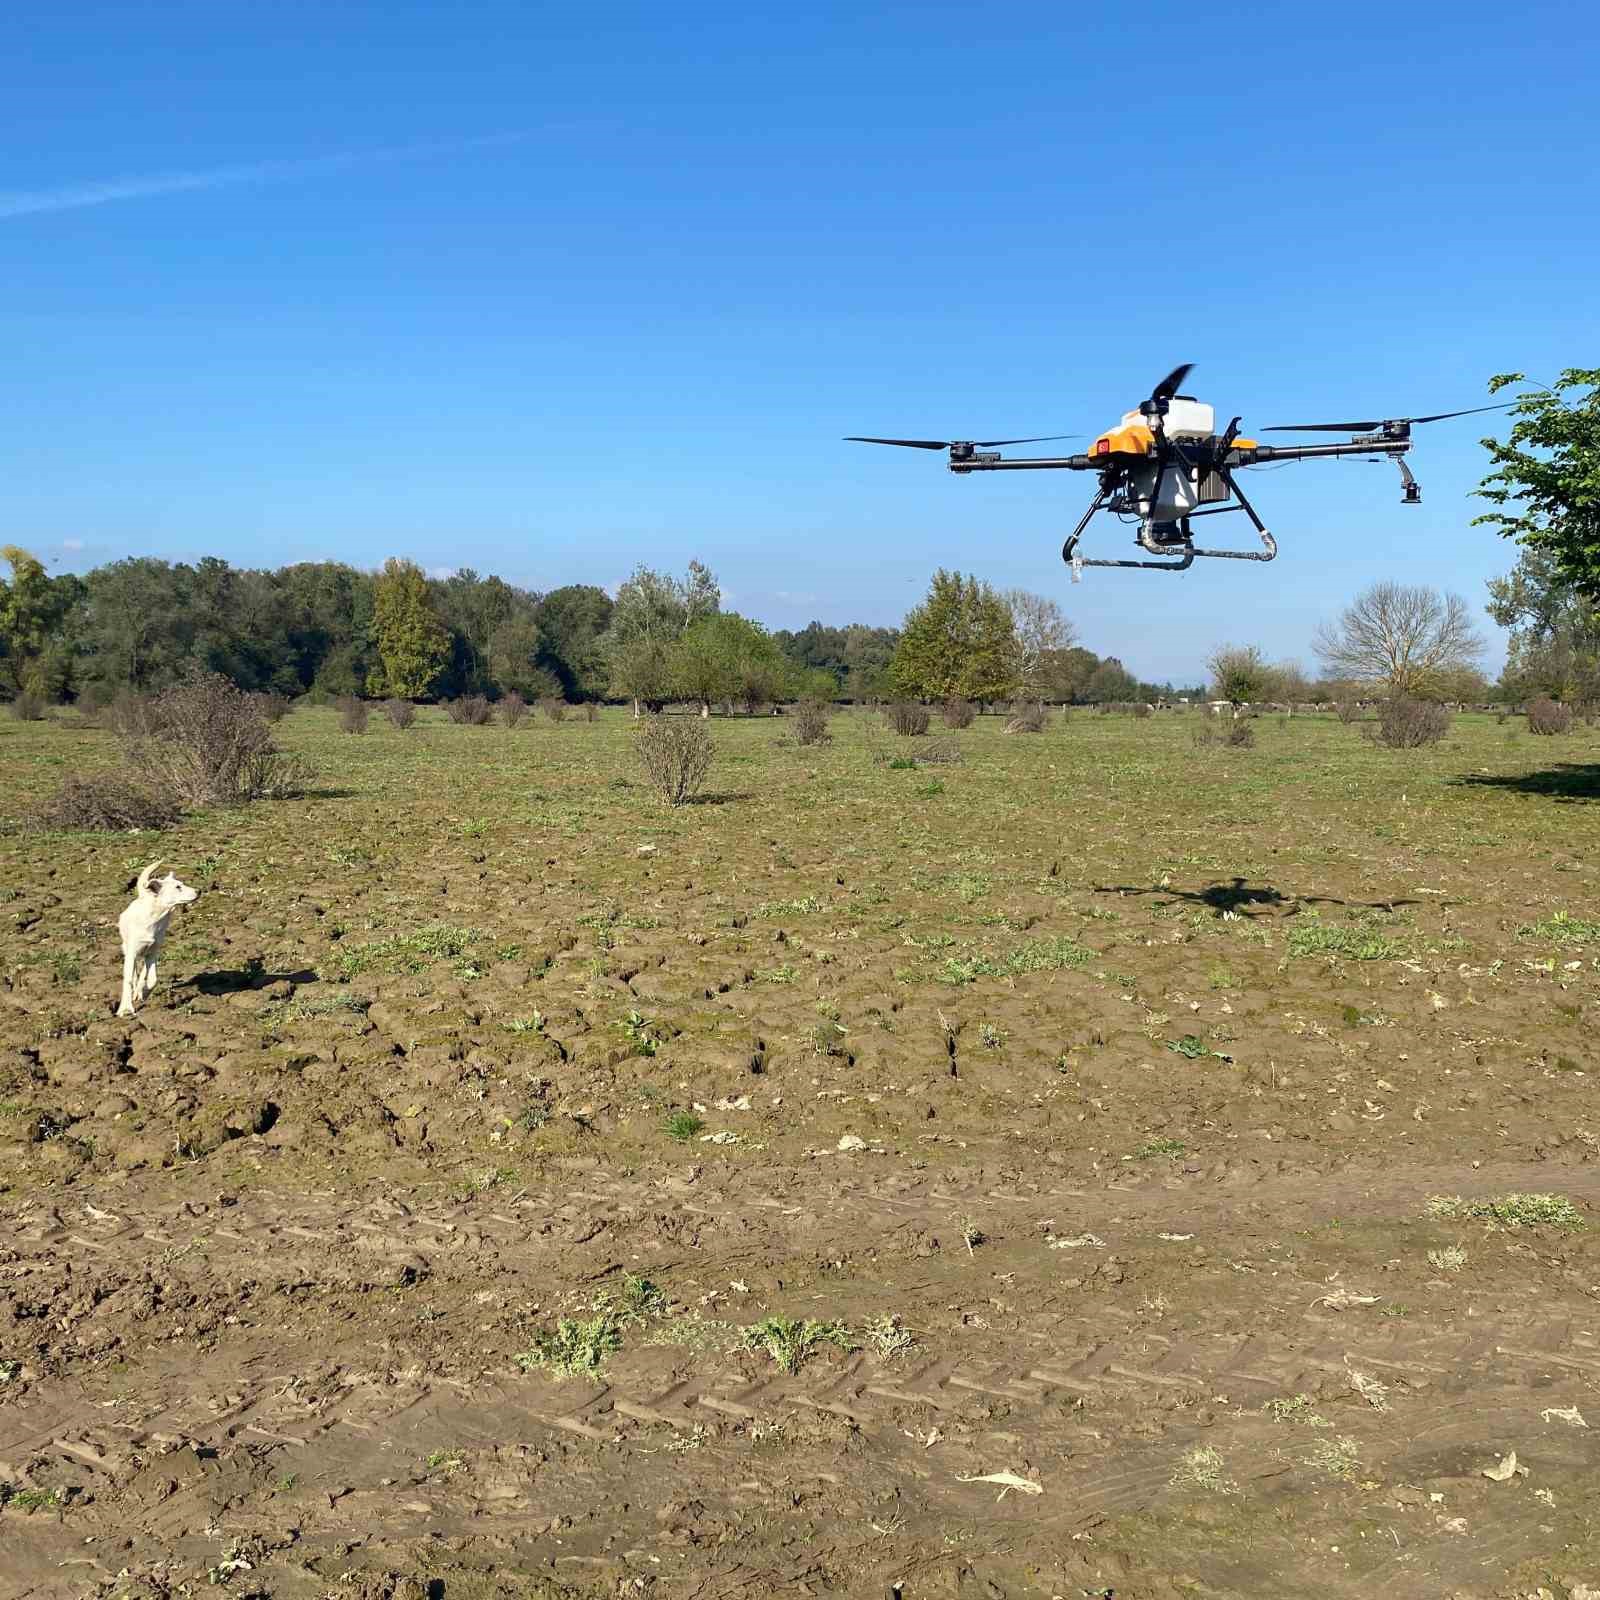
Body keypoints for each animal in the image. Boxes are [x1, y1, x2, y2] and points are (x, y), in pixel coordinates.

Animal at [116, 857, 198, 1017]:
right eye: (178, 887)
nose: (199, 891)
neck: (154, 918)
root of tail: (143, 895)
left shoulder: (154, 952)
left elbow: (152, 979)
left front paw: (144, 993)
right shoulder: (132, 953)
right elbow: (128, 980)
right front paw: (126, 1009)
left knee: (143, 973)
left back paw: (139, 992)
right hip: (128, 948)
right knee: (134, 972)